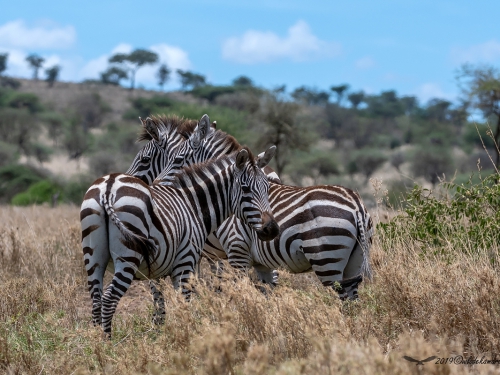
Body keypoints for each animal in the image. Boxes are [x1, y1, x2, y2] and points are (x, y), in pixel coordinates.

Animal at [80, 145, 280, 336]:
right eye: (246, 189)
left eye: (267, 188)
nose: (272, 229)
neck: (194, 206)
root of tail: (108, 187)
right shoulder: (185, 261)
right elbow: (184, 304)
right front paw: (186, 336)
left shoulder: (158, 269)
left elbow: (161, 301)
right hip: (128, 256)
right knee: (109, 299)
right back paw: (108, 342)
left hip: (93, 257)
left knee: (96, 301)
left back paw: (97, 342)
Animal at [154, 119, 374, 300]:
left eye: (178, 159)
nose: (156, 184)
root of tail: (356, 204)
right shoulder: (261, 263)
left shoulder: (237, 250)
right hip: (354, 261)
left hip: (327, 259)